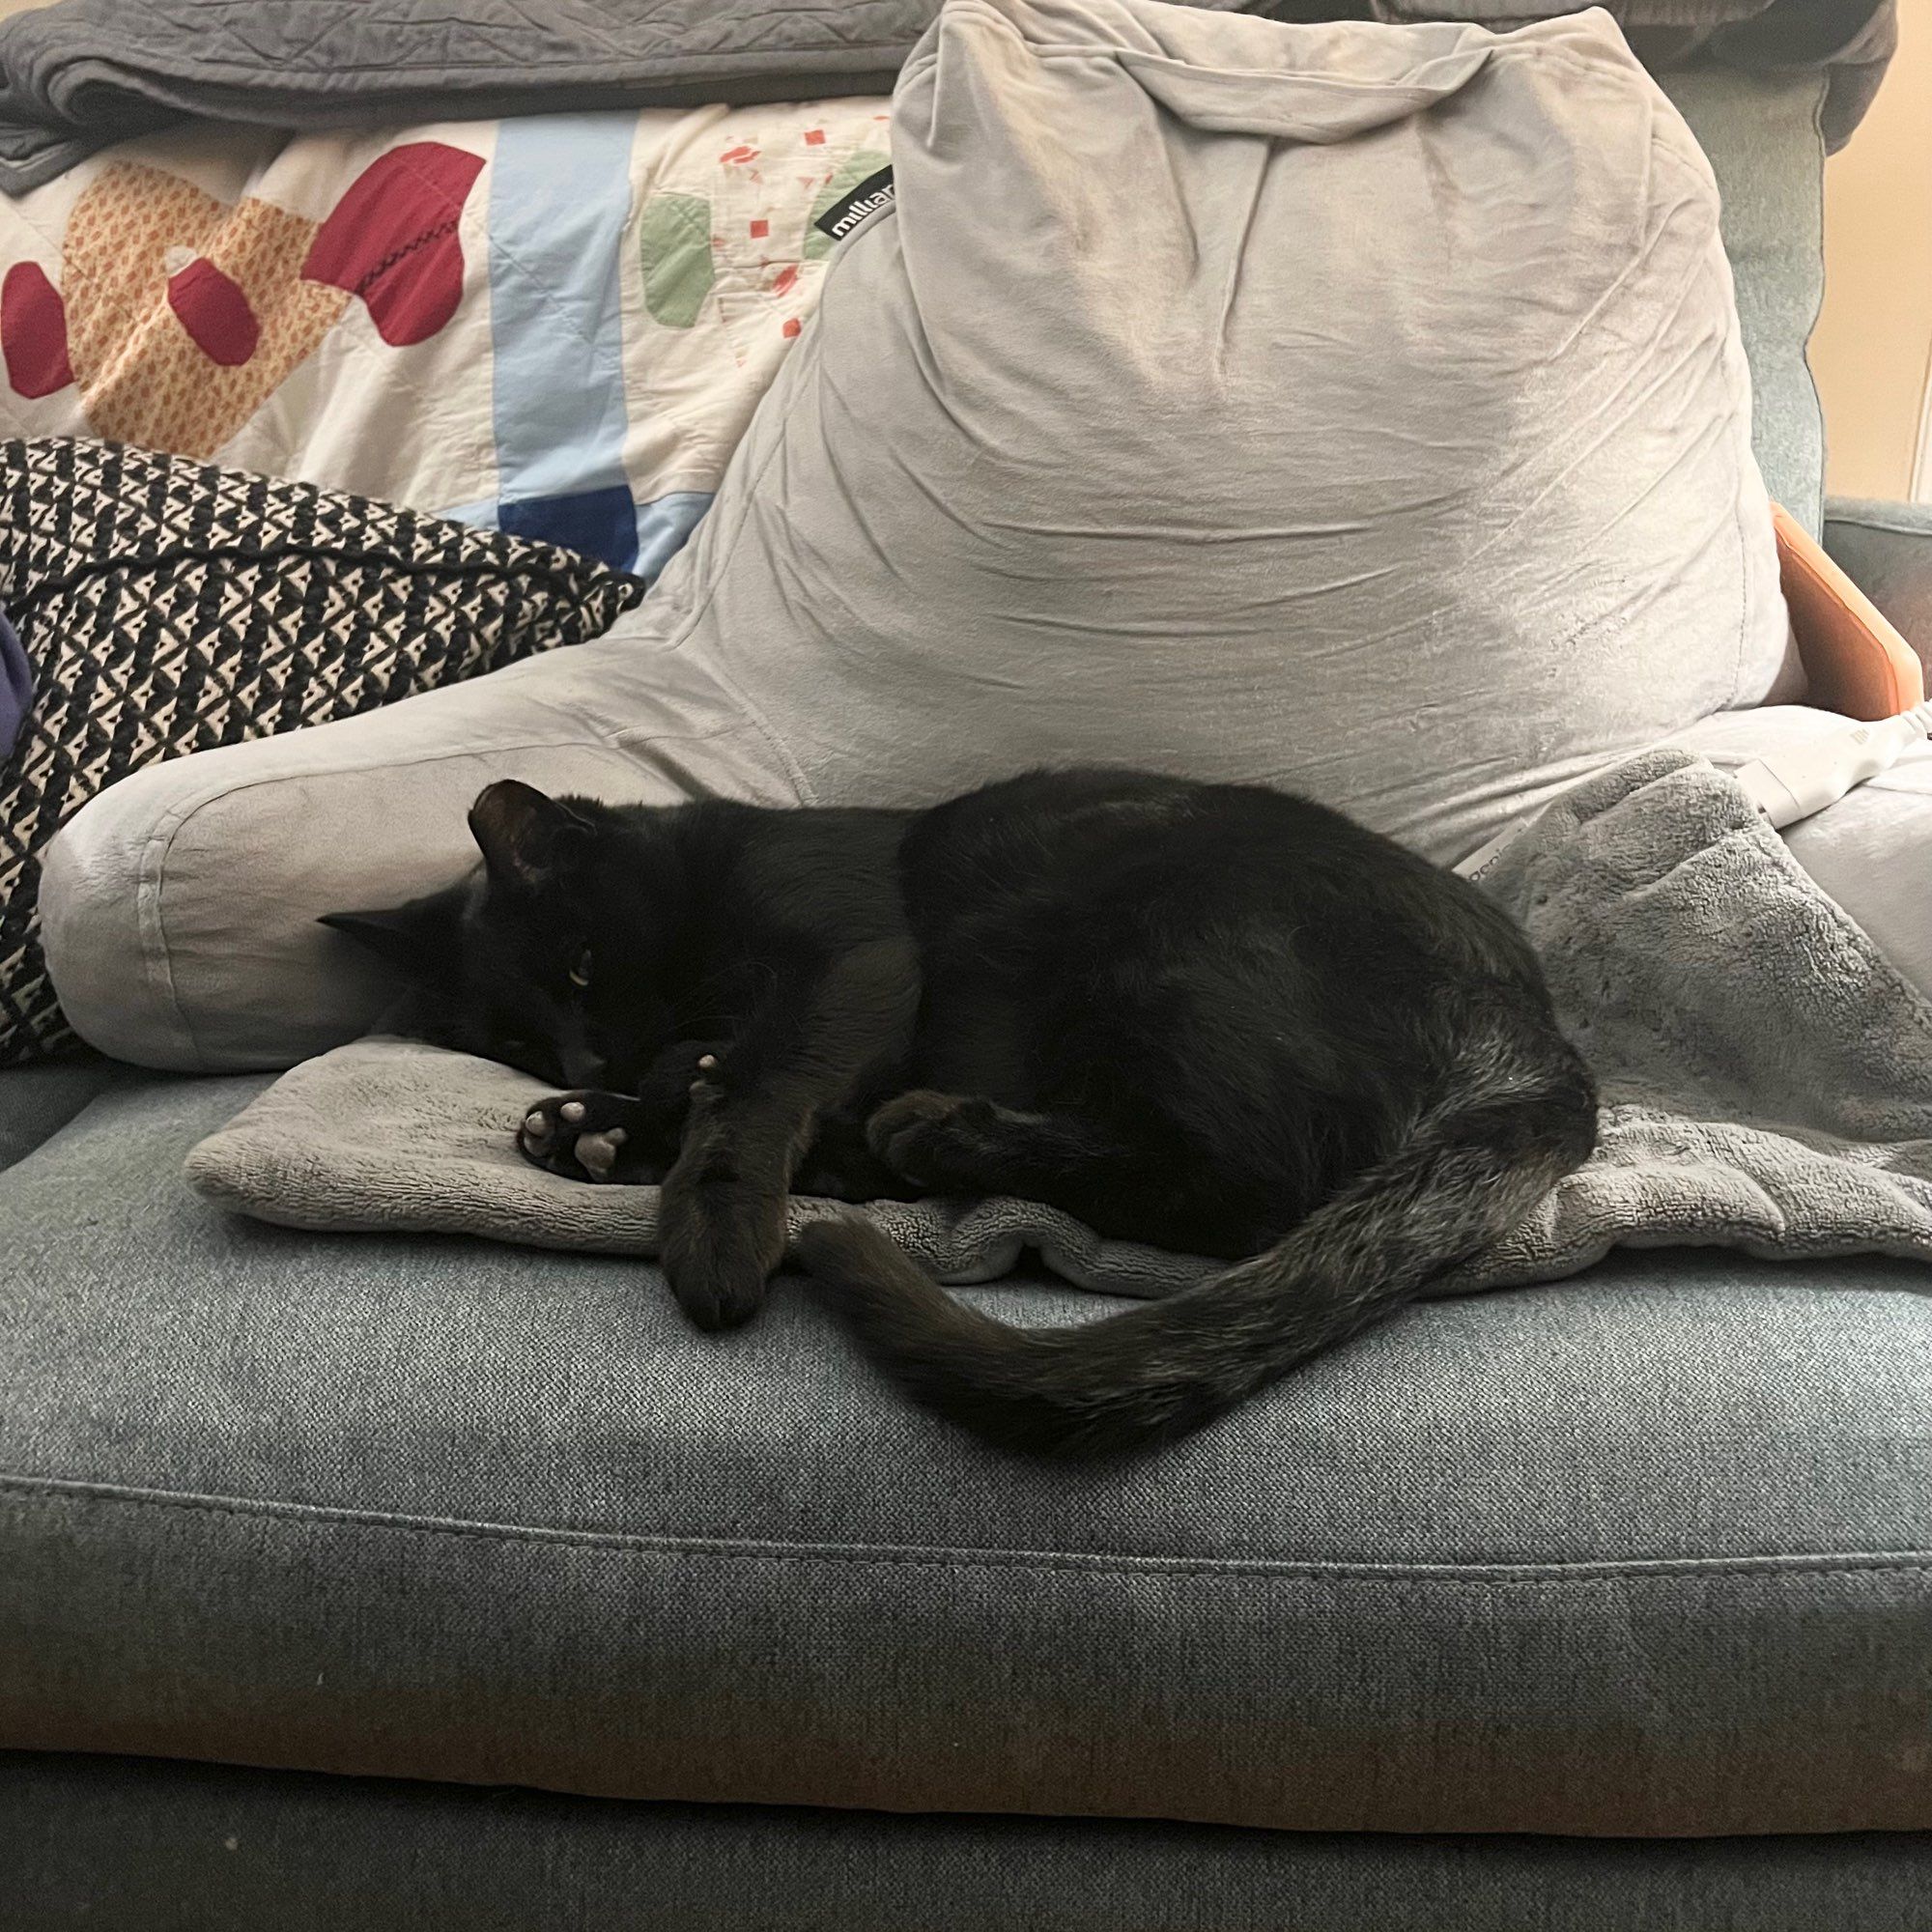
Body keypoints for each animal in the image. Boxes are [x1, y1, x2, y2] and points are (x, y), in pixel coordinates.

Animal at [328, 765, 1600, 1453]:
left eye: (585, 963)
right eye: (513, 1039)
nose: (588, 1054)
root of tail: (1537, 1025)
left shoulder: (852, 959)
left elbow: (757, 1081)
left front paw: (711, 1218)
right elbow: (714, 1075)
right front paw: (594, 1122)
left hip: (1163, 943)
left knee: (1253, 1184)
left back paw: (922, 1134)